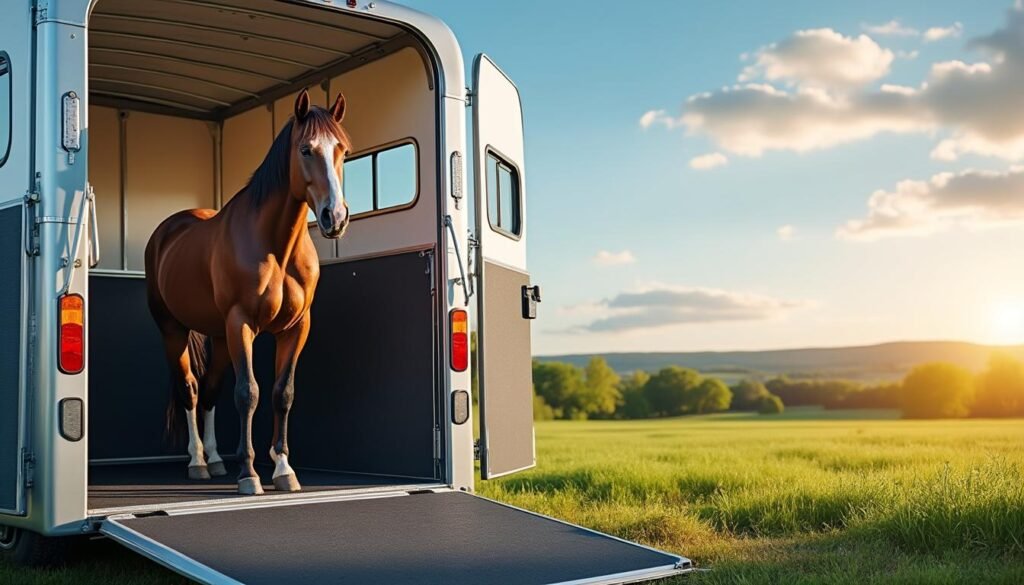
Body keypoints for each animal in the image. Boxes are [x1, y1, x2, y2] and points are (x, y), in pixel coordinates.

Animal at [145, 89, 352, 495]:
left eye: (343, 150)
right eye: (306, 150)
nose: (334, 217)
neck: (276, 246)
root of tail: (168, 229)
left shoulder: (296, 328)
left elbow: (282, 393)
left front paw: (284, 469)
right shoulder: (241, 324)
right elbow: (248, 394)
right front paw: (249, 474)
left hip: (218, 336)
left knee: (210, 390)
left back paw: (216, 460)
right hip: (173, 330)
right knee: (190, 389)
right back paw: (197, 462)